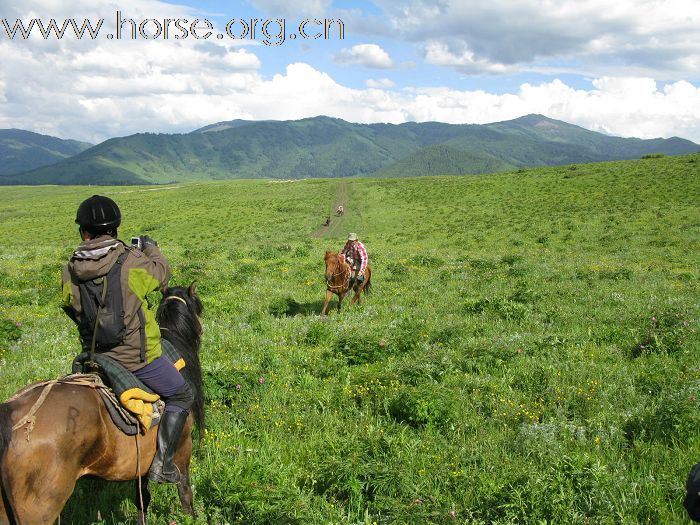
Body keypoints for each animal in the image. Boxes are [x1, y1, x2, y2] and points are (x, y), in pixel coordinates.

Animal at [0, 282, 205, 524]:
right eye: (199, 307)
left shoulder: (141, 461)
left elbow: (142, 499)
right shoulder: (182, 449)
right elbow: (185, 491)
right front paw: (192, 517)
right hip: (40, 509)